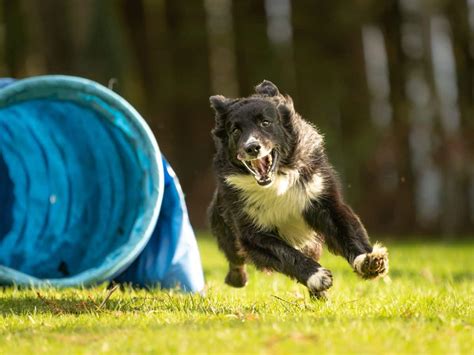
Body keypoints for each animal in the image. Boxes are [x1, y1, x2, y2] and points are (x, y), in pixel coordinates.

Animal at [207, 81, 388, 300]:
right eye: (235, 131)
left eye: (265, 123)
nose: (252, 147)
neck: (276, 180)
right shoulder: (251, 231)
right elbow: (285, 253)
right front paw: (317, 276)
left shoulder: (323, 200)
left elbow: (348, 231)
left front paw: (368, 261)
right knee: (234, 257)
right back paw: (237, 279)